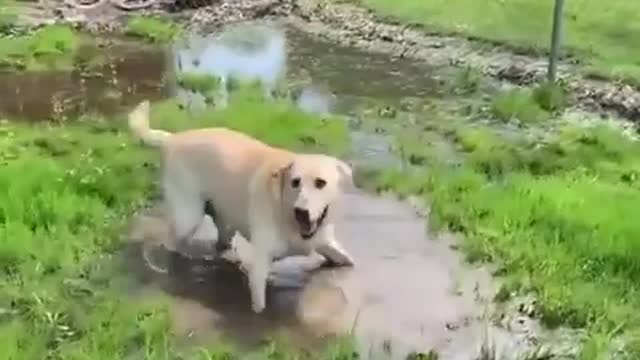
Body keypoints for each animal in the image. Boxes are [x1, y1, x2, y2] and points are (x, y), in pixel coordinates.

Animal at [125, 100, 356, 312]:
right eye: (295, 182)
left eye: (320, 183)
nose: (301, 211)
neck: (285, 210)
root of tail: (173, 138)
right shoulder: (260, 265)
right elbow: (259, 306)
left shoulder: (324, 242)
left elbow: (347, 260)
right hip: (187, 217)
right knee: (171, 242)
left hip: (223, 219)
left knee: (220, 241)